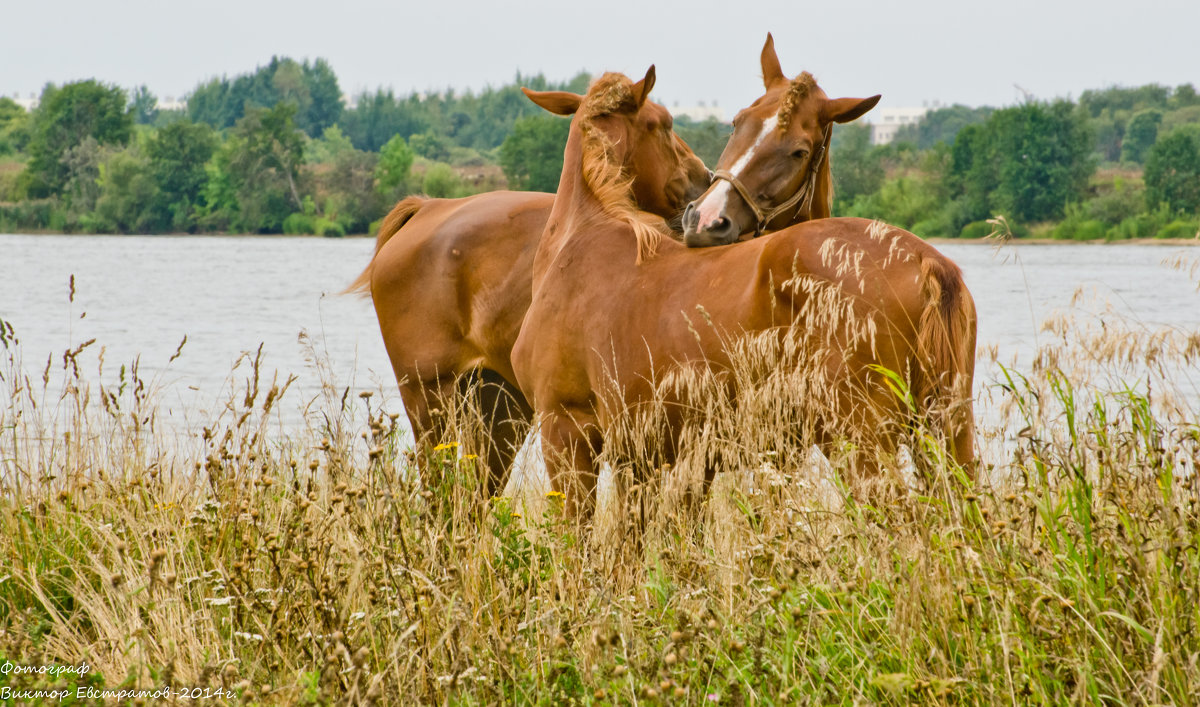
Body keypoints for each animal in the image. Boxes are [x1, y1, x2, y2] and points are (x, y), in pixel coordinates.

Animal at [513, 66, 974, 516]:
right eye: (665, 124)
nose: (700, 190)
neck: (582, 240)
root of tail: (925, 260)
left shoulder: (566, 434)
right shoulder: (651, 462)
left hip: (862, 440)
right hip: (948, 429)